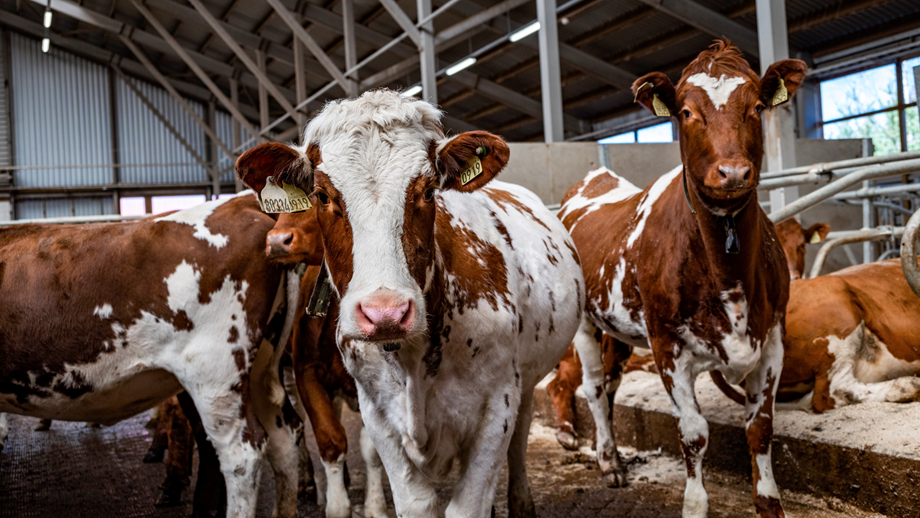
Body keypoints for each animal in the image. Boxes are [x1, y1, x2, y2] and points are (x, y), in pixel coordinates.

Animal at [237, 89, 584, 518]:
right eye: (321, 195)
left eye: (429, 190)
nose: (385, 313)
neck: (413, 357)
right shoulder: (376, 412)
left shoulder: (496, 407)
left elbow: (470, 504)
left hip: (526, 379)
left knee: (519, 439)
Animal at [552, 41, 804, 518]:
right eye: (686, 112)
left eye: (757, 106)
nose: (733, 172)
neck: (728, 273)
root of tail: (592, 181)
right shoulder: (667, 344)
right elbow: (693, 433)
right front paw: (694, 503)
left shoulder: (774, 337)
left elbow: (760, 428)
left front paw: (769, 503)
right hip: (586, 324)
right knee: (592, 386)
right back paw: (609, 462)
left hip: (621, 329)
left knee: (610, 385)